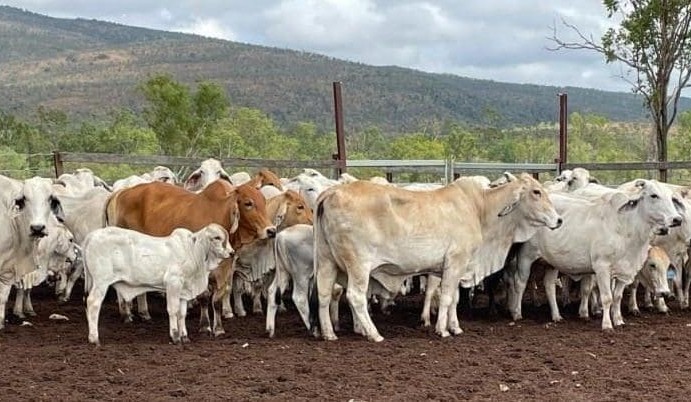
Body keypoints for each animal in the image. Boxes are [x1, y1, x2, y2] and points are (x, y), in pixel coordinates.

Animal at [84, 224, 233, 345]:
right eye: (217, 237)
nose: (232, 253)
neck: (193, 252)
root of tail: (91, 236)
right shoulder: (173, 283)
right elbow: (173, 310)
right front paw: (175, 336)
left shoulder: (184, 290)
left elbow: (182, 313)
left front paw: (184, 336)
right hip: (101, 282)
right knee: (93, 303)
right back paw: (94, 338)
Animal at [105, 180, 275, 335]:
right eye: (248, 203)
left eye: (264, 201)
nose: (271, 230)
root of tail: (121, 193)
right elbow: (205, 297)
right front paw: (205, 326)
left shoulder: (225, 268)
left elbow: (218, 300)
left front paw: (218, 328)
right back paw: (126, 314)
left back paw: (144, 313)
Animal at [312, 173, 562, 341]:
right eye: (536, 192)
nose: (558, 220)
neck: (480, 209)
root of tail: (332, 191)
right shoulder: (456, 261)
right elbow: (447, 298)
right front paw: (442, 330)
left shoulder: (453, 268)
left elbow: (454, 299)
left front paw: (455, 327)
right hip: (359, 265)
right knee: (355, 296)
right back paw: (374, 334)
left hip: (326, 261)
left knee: (324, 293)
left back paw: (328, 333)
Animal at [508, 181, 682, 331]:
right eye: (654, 195)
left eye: (671, 197)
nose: (677, 219)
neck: (626, 227)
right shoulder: (602, 267)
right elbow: (607, 297)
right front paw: (607, 324)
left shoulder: (624, 271)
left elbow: (617, 296)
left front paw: (618, 320)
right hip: (526, 256)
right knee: (520, 283)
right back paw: (517, 313)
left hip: (551, 262)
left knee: (549, 285)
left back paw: (556, 316)